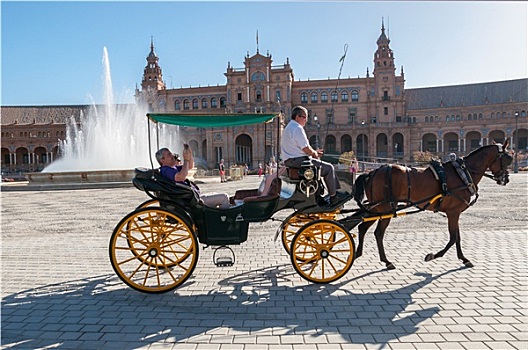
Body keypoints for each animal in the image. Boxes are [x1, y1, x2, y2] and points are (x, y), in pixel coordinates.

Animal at [354, 141, 512, 270]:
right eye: (507, 159)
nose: (505, 179)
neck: (462, 173)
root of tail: (372, 172)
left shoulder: (455, 212)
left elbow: (457, 237)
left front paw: (463, 258)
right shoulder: (453, 212)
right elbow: (453, 238)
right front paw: (433, 255)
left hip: (376, 208)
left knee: (363, 228)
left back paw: (358, 253)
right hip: (385, 208)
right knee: (378, 233)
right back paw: (386, 261)